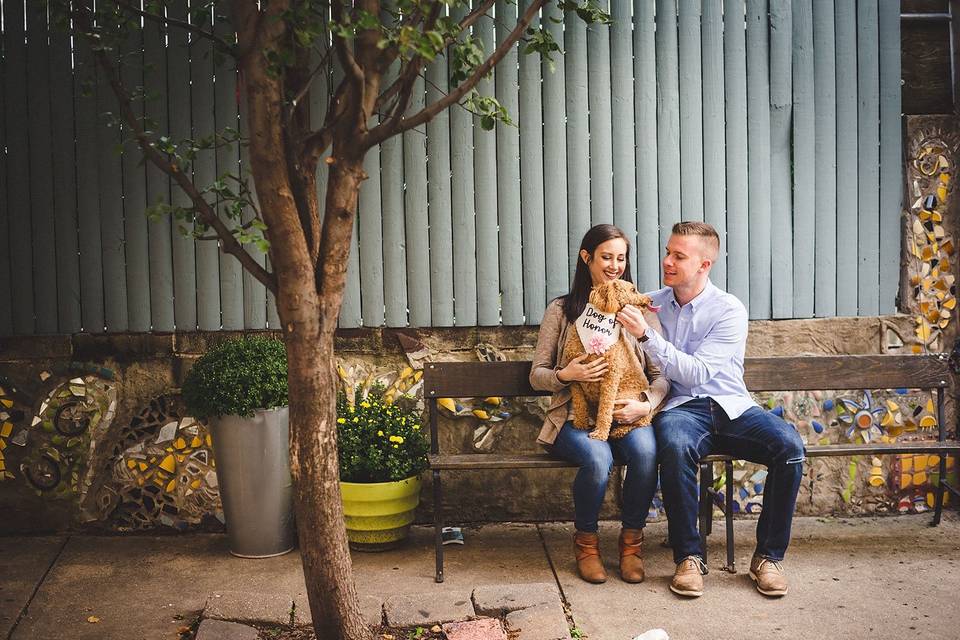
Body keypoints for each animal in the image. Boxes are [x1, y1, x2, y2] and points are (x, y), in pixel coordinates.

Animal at [560, 280, 656, 440]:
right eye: (633, 290)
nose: (651, 300)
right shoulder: (574, 377)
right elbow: (579, 405)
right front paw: (580, 425)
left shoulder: (610, 377)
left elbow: (605, 408)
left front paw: (600, 433)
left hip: (622, 398)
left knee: (641, 421)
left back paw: (618, 431)